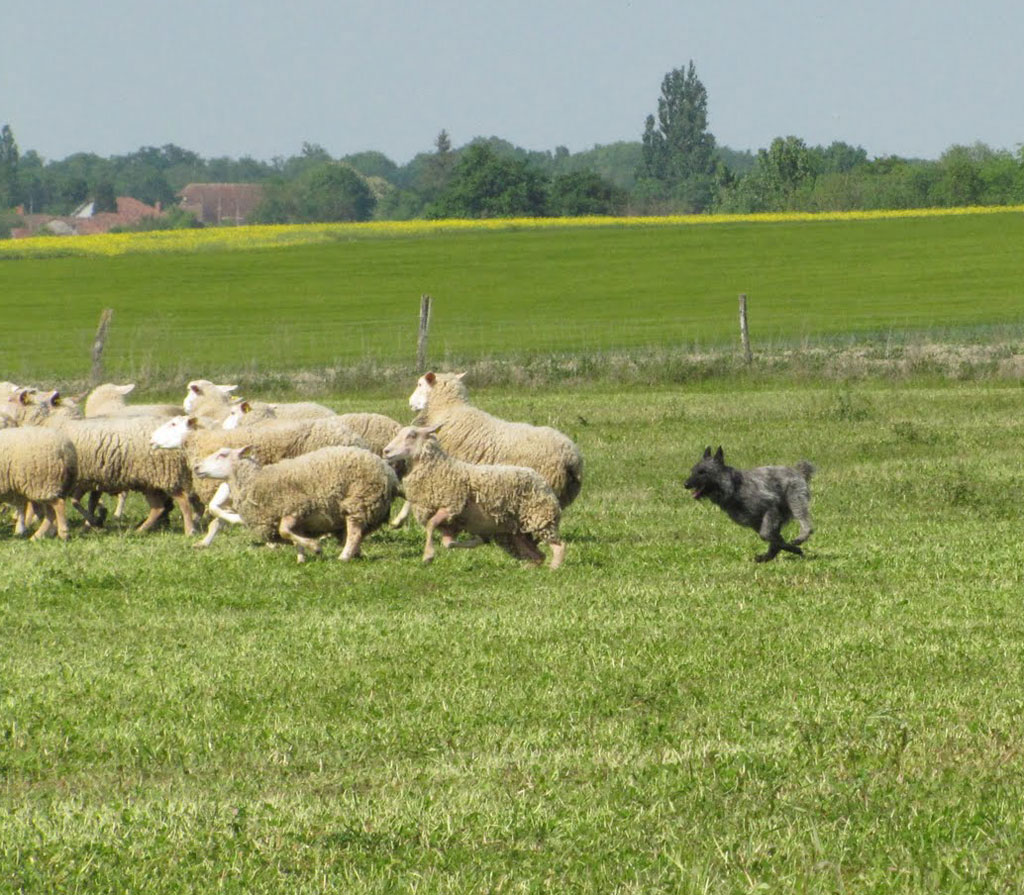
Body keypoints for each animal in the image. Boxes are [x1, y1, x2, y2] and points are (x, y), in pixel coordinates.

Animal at [195, 444, 399, 561]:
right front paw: (301, 558)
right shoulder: (297, 518)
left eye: (222, 455)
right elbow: (293, 536)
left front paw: (315, 548)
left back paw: (344, 556)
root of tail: (388, 471)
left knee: (355, 532)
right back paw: (355, 554)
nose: (196, 467)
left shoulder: (294, 507)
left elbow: (284, 531)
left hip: (359, 500)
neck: (254, 481)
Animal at [382, 423, 565, 565]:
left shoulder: (452, 505)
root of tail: (540, 478)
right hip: (516, 532)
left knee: (559, 546)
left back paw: (553, 570)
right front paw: (477, 541)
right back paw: (529, 569)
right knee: (538, 555)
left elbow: (431, 525)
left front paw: (428, 555)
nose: (386, 451)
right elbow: (448, 543)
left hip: (540, 517)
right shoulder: (449, 524)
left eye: (412, 435)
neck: (439, 468)